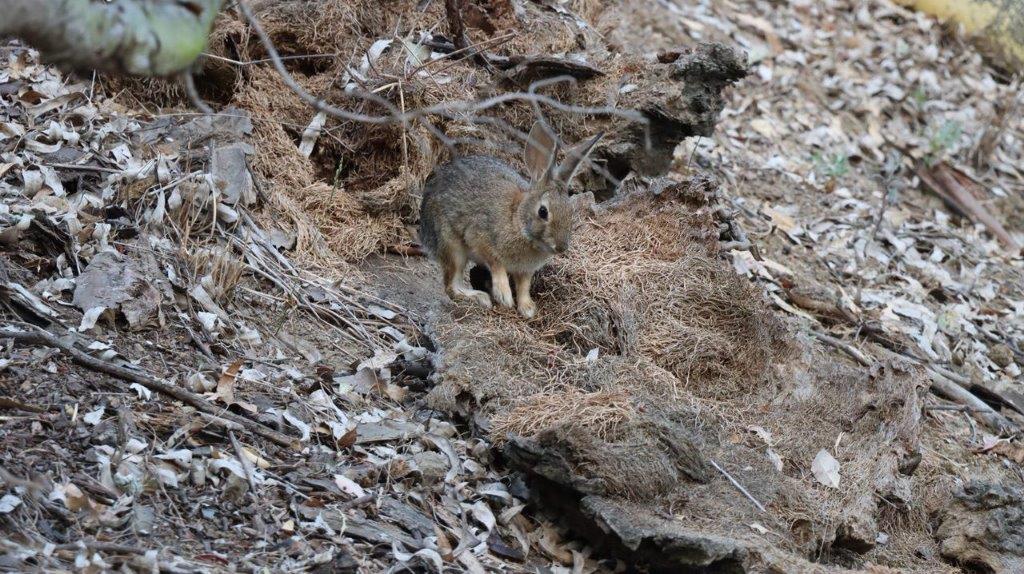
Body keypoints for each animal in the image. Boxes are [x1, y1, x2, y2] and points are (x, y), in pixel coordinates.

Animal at [419, 121, 602, 317]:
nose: (561, 247)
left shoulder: (525, 270)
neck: (518, 220)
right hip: (451, 245)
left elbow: (523, 286)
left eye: (571, 212)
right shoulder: (479, 236)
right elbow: (496, 263)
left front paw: (527, 308)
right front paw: (504, 296)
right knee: (451, 285)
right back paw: (479, 297)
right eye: (543, 212)